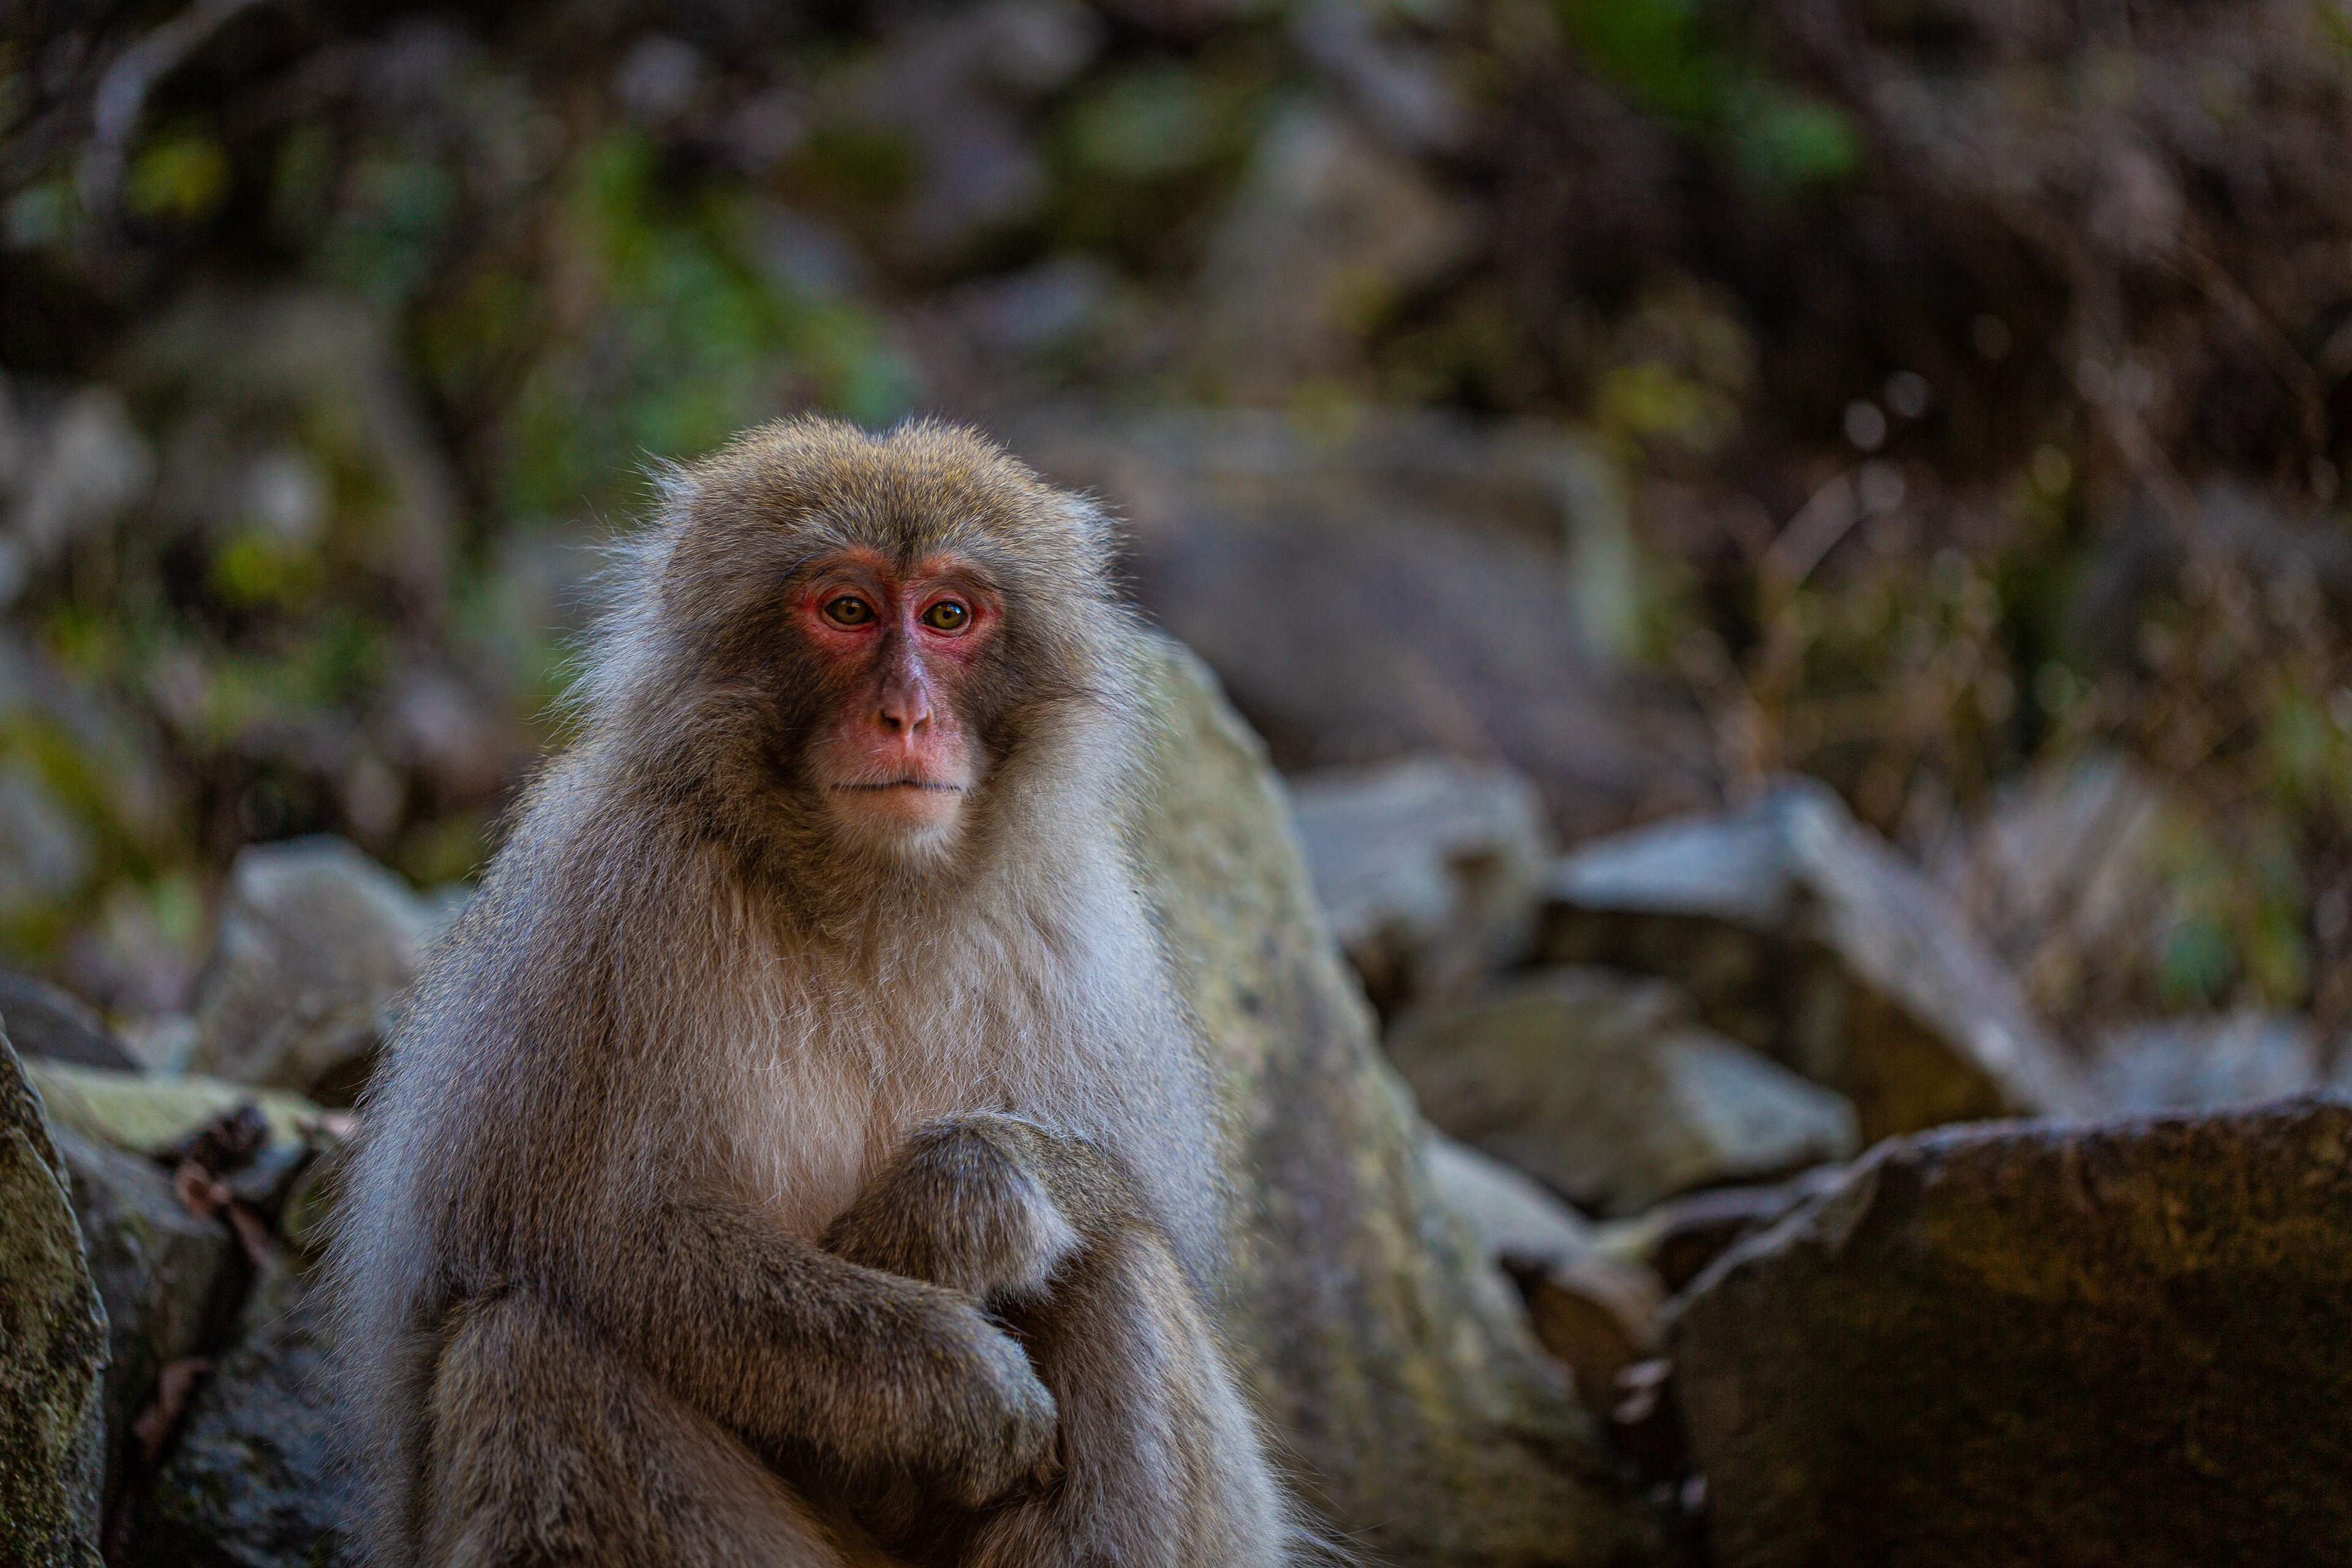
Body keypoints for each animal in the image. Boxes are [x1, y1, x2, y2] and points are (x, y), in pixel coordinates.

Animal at [326, 415, 1302, 1568]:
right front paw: (947, 1379)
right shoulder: (606, 901)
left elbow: (1148, 1210)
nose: (906, 716)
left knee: (1118, 1273)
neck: (871, 899)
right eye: (847, 612)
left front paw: (956, 1202)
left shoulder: (1086, 930)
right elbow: (579, 1239)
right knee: (526, 1349)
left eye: (950, 616)